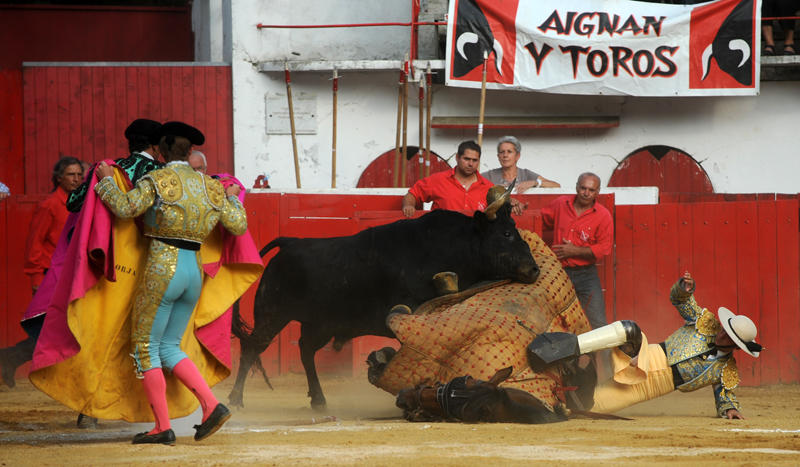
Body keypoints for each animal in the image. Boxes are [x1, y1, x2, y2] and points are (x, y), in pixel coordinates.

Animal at [229, 187, 540, 411]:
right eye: (507, 233)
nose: (534, 269)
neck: (453, 246)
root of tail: (290, 242)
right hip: (272, 313)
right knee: (252, 349)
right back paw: (236, 400)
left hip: (320, 324)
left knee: (306, 350)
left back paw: (318, 400)